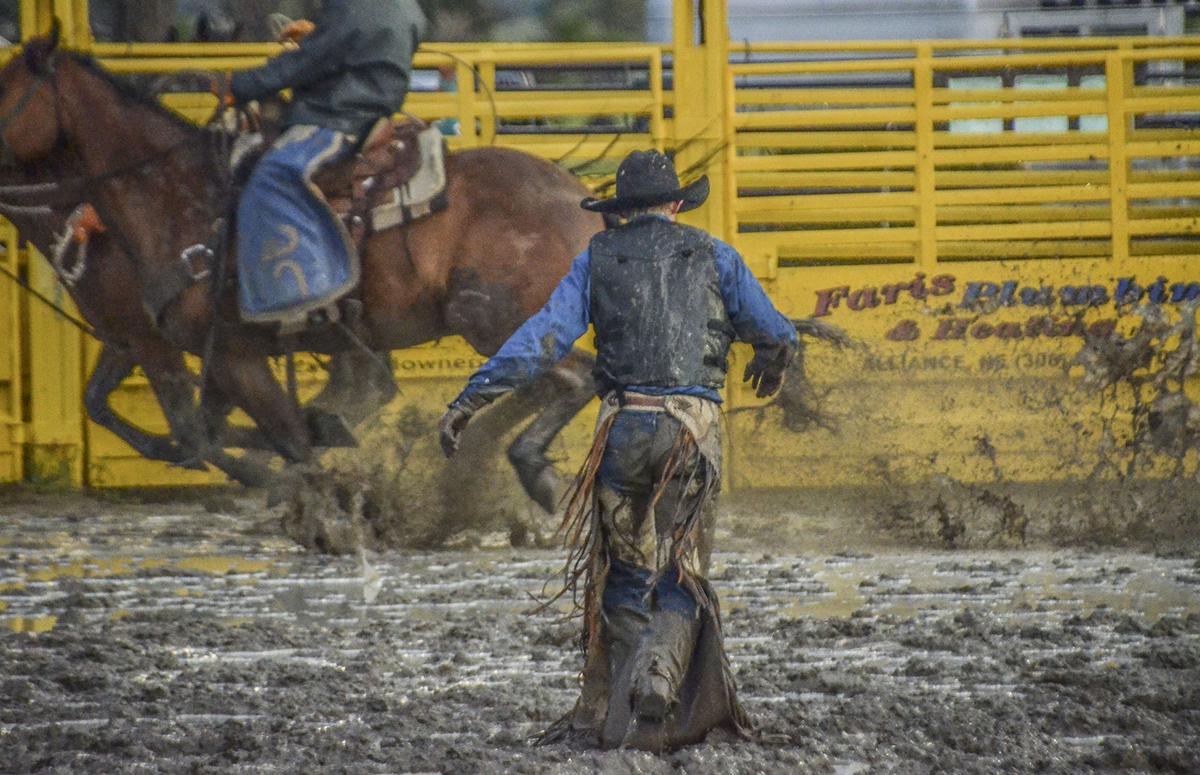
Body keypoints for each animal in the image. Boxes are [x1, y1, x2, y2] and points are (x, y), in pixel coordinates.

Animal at [0, 31, 600, 511]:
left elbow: (247, 435)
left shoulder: (200, 350)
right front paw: (316, 441)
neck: (181, 200)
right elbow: (193, 427)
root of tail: (577, 196)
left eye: (4, 93)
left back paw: (527, 468)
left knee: (575, 376)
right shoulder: (179, 347)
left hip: (488, 314)